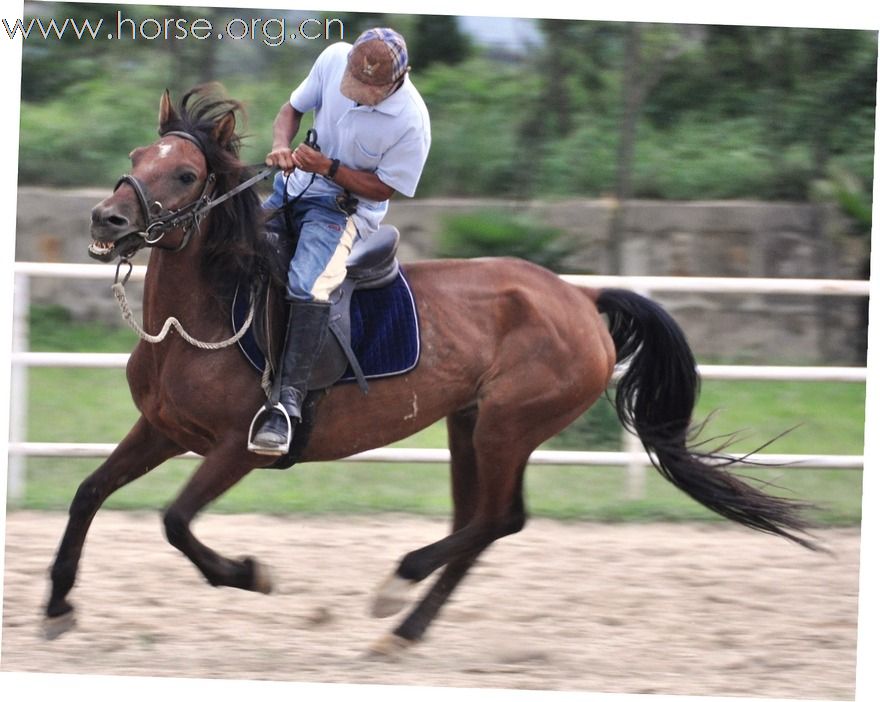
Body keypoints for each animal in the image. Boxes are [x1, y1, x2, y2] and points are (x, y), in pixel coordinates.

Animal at [44, 86, 816, 656]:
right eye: (136, 155)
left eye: (183, 173)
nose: (107, 220)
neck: (202, 316)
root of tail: (580, 298)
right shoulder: (162, 430)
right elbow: (87, 493)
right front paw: (55, 605)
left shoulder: (239, 447)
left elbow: (175, 521)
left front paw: (250, 575)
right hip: (468, 425)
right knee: (481, 520)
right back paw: (406, 623)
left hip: (508, 426)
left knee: (499, 520)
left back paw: (400, 590)